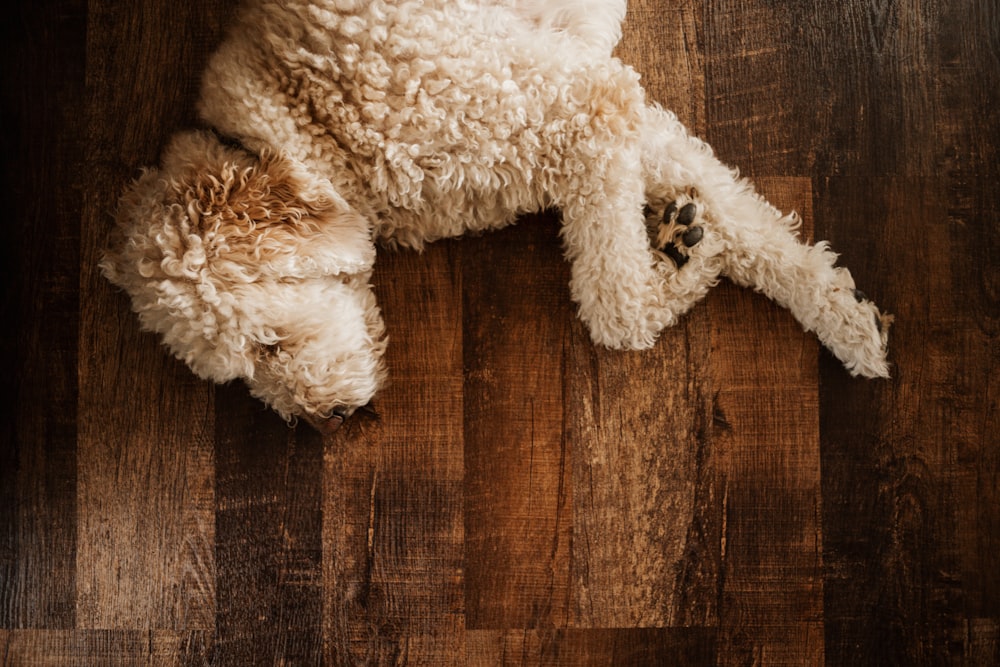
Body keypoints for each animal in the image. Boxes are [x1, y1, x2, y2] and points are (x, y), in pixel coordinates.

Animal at [103, 0, 892, 434]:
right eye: (240, 377)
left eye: (270, 344)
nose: (323, 422)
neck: (304, 118)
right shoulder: (599, 107)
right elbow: (745, 217)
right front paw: (842, 316)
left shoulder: (583, 106)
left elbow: (613, 308)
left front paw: (682, 263)